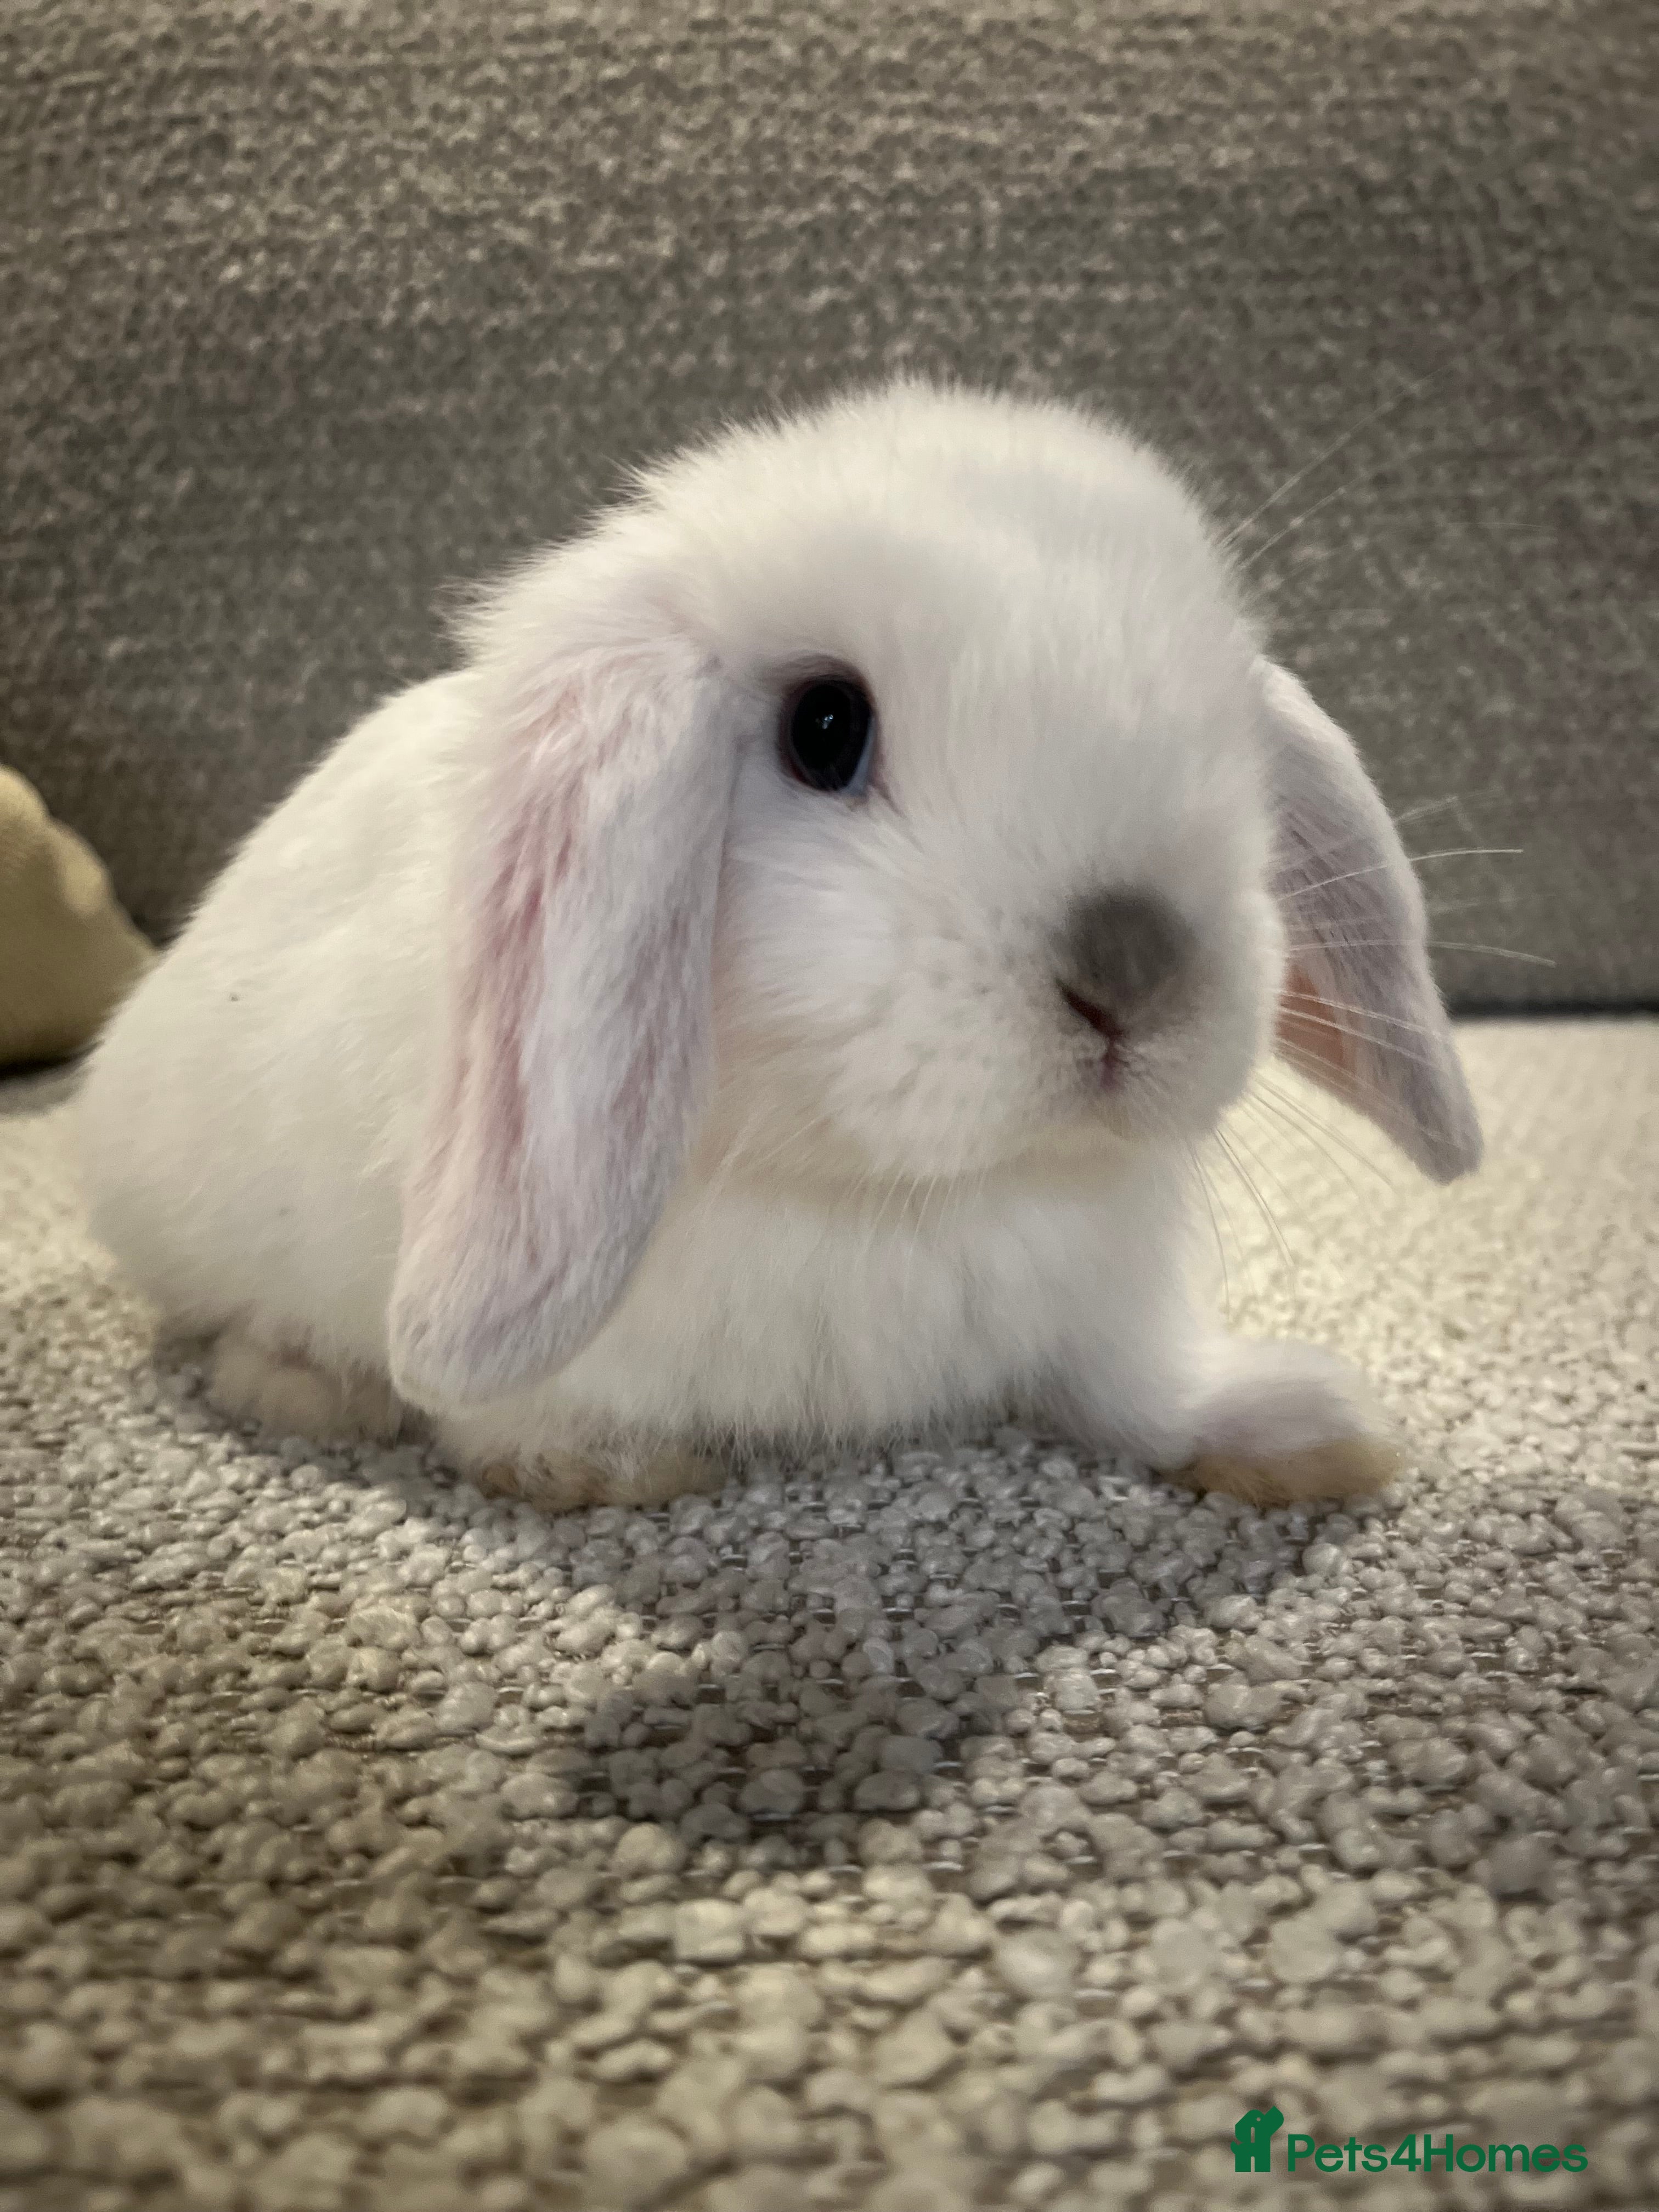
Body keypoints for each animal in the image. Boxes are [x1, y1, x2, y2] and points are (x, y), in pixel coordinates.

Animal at [78, 379, 1481, 1512]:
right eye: (825, 729)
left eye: (1230, 739)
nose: (1137, 968)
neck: (902, 1197)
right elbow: (502, 1407)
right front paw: (594, 1467)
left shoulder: (1103, 1306)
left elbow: (1137, 1388)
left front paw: (1308, 1435)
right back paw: (306, 1383)